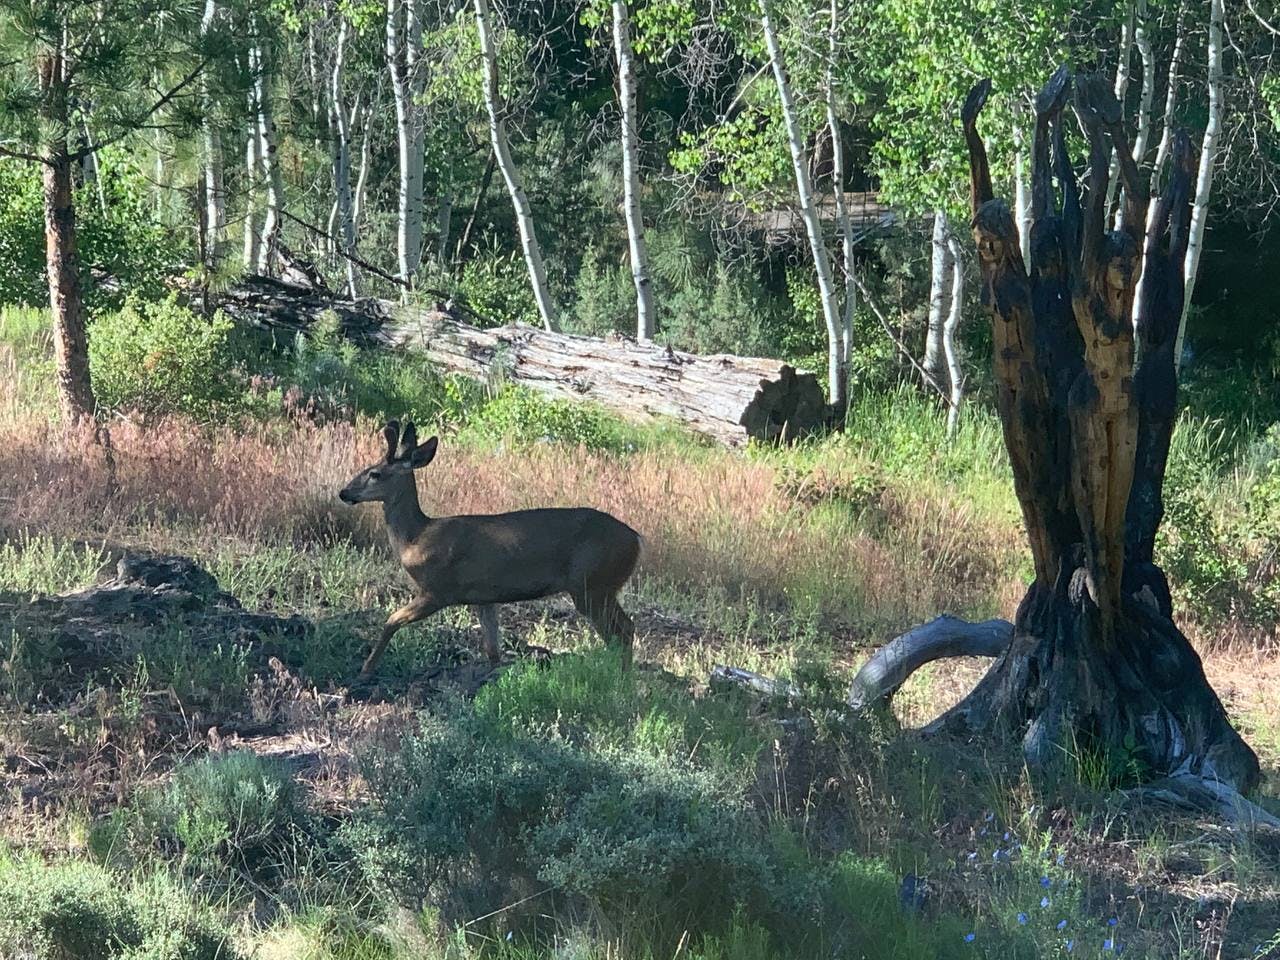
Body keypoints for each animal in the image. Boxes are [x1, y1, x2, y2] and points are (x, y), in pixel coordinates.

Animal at [337, 419, 640, 675]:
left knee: (624, 631)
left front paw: (366, 669)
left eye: (375, 473)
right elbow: (492, 648)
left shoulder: (438, 590)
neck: (415, 539)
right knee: (621, 632)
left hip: (592, 584)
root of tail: (637, 541)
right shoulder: (483, 597)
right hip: (598, 586)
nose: (344, 492)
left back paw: (619, 678)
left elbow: (391, 620)